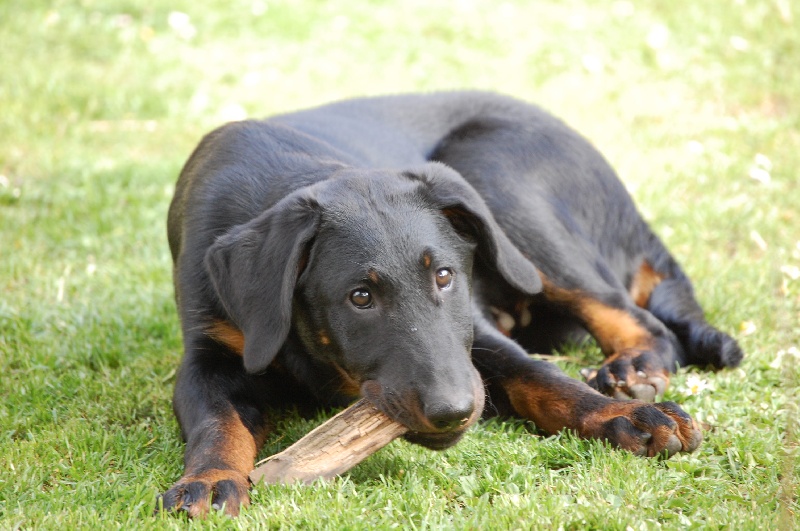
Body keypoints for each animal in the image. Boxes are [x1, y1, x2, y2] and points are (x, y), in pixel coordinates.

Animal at [162, 91, 744, 516]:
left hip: (497, 182)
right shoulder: (208, 354)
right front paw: (210, 478)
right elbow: (218, 421)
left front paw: (624, 416)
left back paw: (634, 370)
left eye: (445, 276)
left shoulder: (476, 334)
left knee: (637, 316)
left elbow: (544, 379)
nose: (454, 411)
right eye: (360, 297)